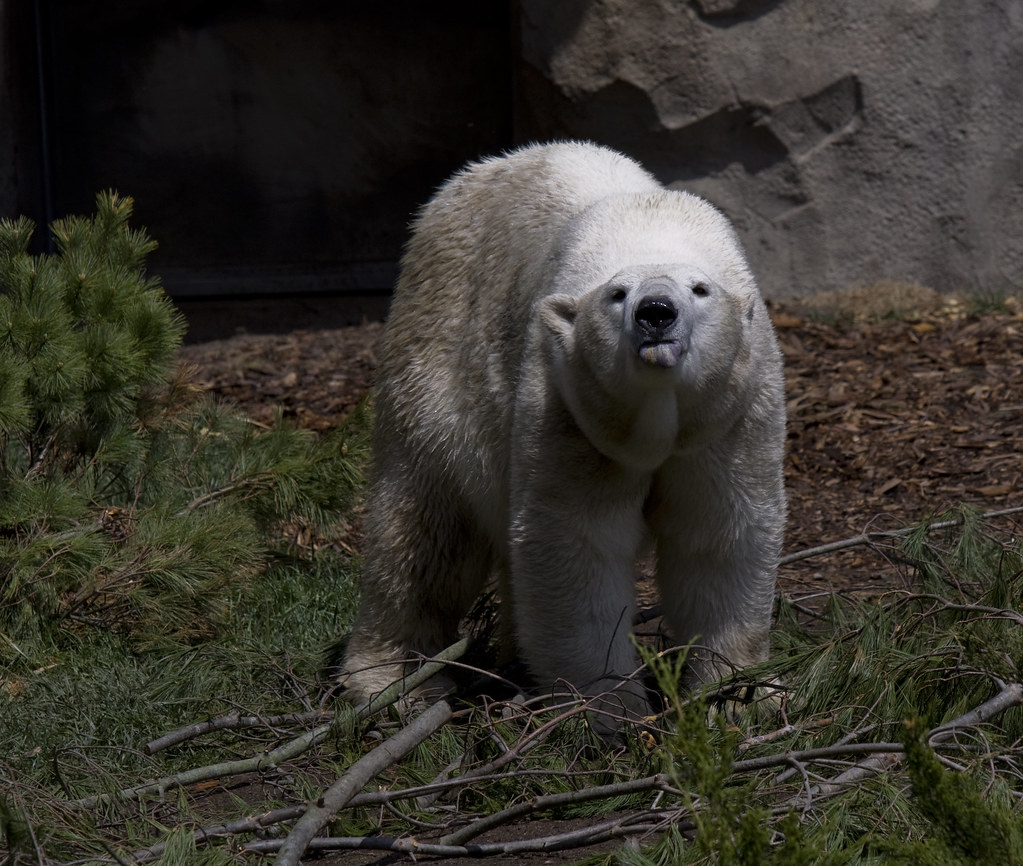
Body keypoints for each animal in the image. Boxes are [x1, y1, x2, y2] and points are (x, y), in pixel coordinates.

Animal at [339, 141, 786, 727]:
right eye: (618, 294)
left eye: (700, 289)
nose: (656, 312)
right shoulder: (563, 398)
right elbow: (575, 543)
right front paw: (608, 708)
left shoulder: (729, 417)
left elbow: (720, 534)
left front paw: (739, 697)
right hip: (434, 362)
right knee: (425, 529)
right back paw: (394, 681)